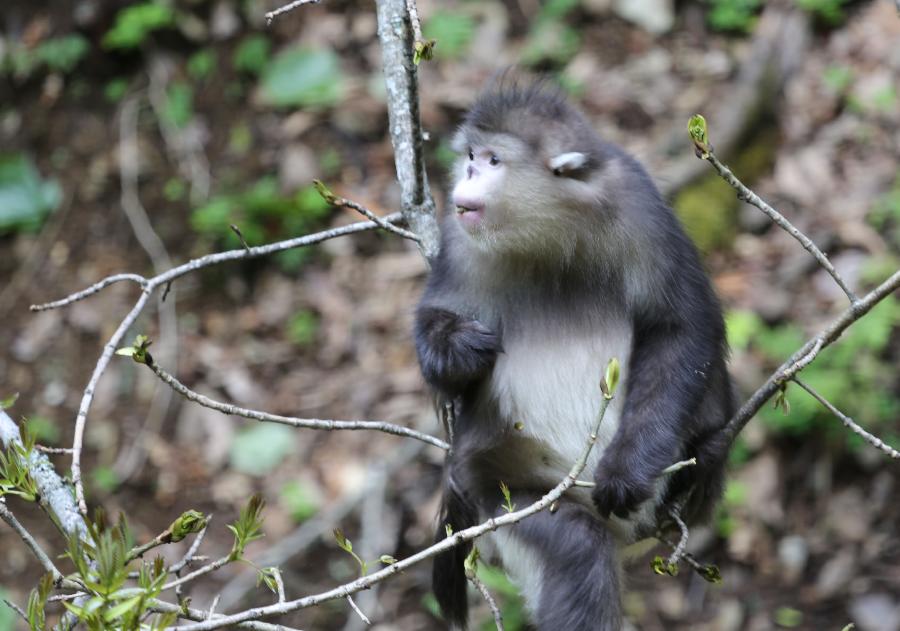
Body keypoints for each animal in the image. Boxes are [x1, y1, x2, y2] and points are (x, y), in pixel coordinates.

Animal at [414, 80, 732, 631]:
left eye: (493, 159)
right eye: (472, 156)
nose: (470, 174)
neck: (550, 231)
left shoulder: (638, 206)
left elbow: (681, 326)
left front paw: (628, 469)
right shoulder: (460, 240)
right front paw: (453, 347)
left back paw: (699, 462)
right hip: (506, 497)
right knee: (576, 547)